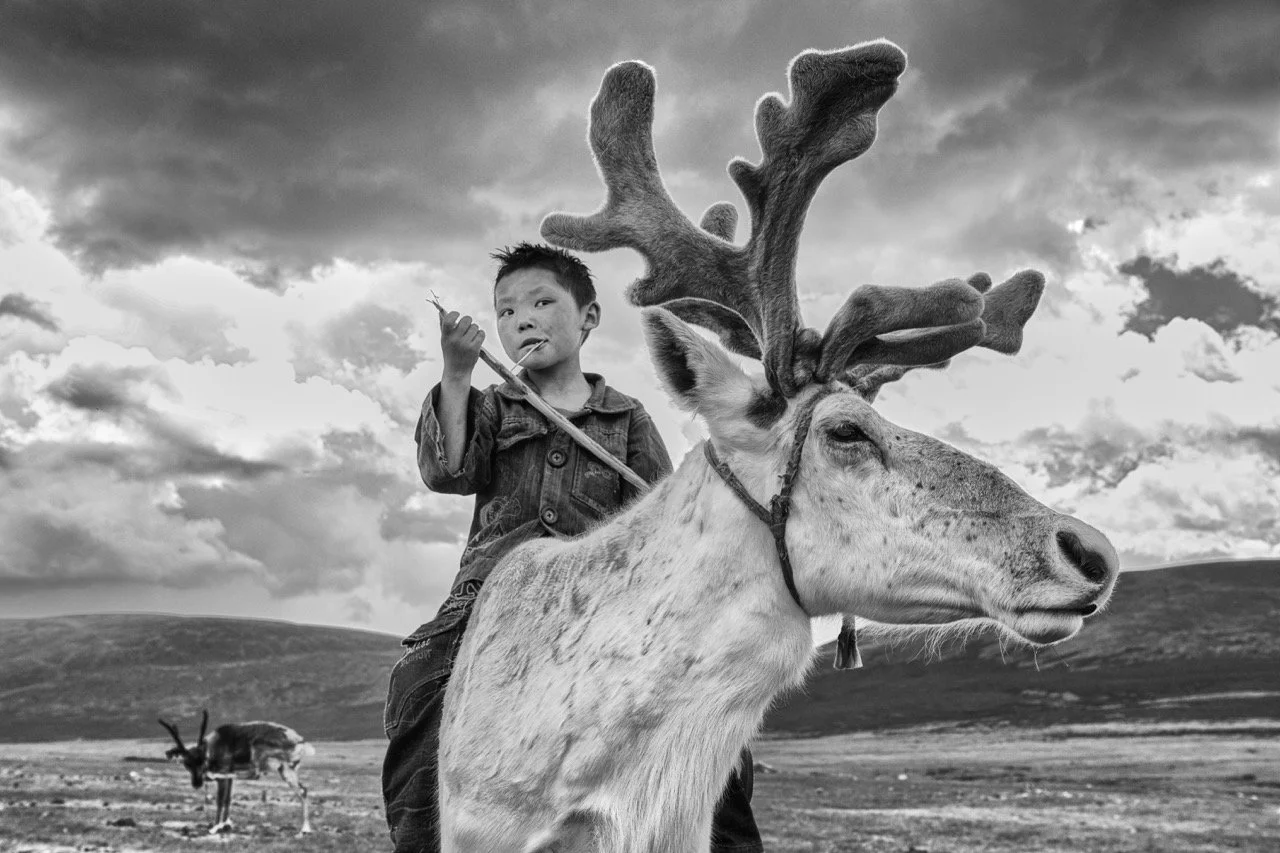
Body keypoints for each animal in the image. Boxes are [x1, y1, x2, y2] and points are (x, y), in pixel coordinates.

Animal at [158, 710, 315, 836]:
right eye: (186, 763)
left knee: (257, 774)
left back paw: (305, 829)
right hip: (285, 770)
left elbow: (220, 800)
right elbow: (228, 799)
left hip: (268, 759)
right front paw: (225, 825)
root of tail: (299, 740)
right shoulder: (229, 780)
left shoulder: (223, 776)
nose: (197, 783)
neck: (214, 746)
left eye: (201, 760)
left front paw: (215, 826)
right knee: (303, 790)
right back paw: (305, 829)